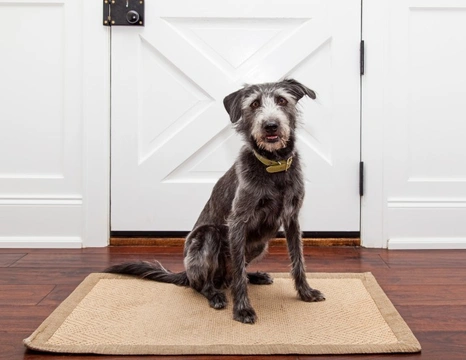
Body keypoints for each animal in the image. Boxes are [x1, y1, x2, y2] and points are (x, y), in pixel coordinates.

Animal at [104, 78, 324, 324]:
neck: (273, 167)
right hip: (207, 237)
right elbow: (239, 273)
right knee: (204, 284)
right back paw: (216, 295)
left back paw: (254, 276)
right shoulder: (238, 222)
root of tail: (186, 273)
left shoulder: (292, 219)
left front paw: (306, 292)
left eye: (282, 100)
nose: (270, 125)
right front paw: (242, 309)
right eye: (255, 104)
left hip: (260, 244)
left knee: (236, 272)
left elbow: (298, 260)